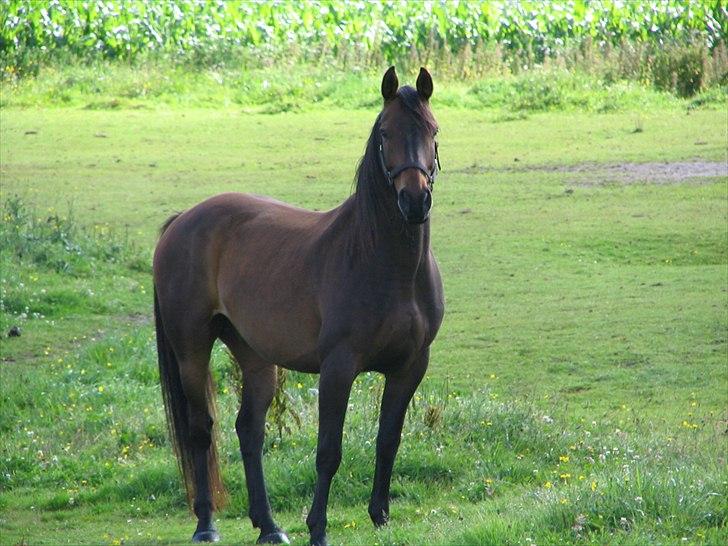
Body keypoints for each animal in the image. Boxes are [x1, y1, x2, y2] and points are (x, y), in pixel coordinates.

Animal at [154, 66, 444, 540]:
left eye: (432, 130)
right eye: (385, 132)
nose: (415, 200)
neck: (386, 264)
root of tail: (183, 220)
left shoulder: (410, 366)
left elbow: (388, 440)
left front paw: (380, 515)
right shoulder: (338, 368)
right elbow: (328, 452)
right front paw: (318, 528)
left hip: (255, 358)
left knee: (249, 431)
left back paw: (269, 526)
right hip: (192, 351)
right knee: (202, 431)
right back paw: (206, 524)